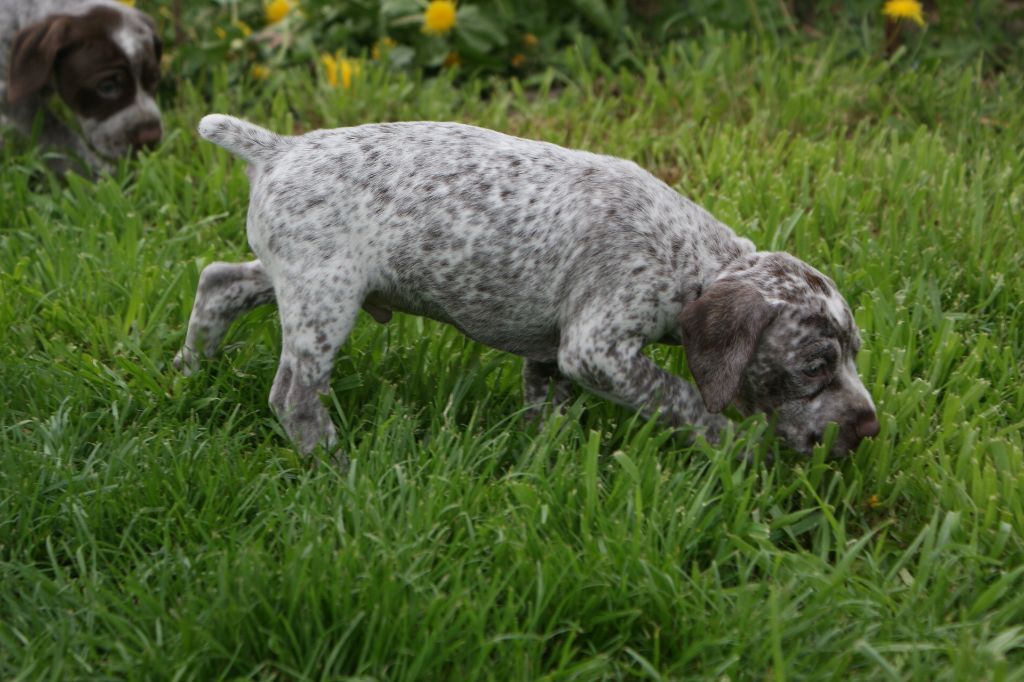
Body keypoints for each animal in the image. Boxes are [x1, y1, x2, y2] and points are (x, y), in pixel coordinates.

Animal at [0, 0, 161, 173]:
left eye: (154, 79)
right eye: (107, 87)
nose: (151, 138)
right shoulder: (15, 98)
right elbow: (58, 136)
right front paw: (97, 172)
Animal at [178, 115, 880, 456]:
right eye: (816, 365)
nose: (869, 428)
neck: (695, 260)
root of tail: (279, 149)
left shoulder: (550, 358)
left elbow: (548, 415)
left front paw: (551, 464)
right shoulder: (596, 351)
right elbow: (683, 398)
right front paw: (733, 448)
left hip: (293, 278)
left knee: (218, 281)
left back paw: (188, 370)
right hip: (325, 299)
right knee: (293, 395)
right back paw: (333, 462)